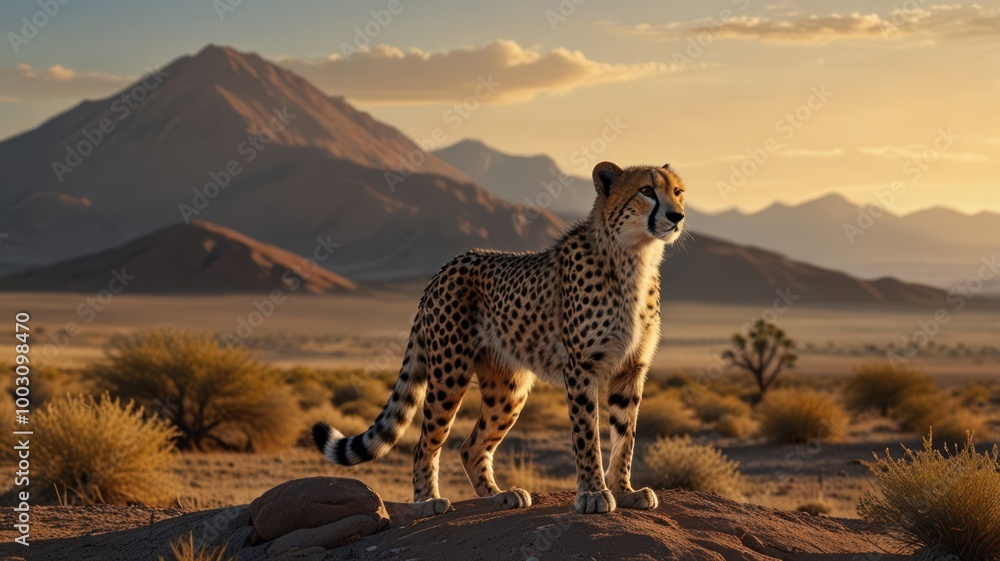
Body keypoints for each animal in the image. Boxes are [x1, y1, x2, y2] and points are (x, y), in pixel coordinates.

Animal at [313, 160, 687, 515]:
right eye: (647, 191)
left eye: (678, 192)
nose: (677, 216)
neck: (634, 255)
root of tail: (443, 269)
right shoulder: (581, 367)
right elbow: (587, 434)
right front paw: (594, 493)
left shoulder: (631, 369)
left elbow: (626, 436)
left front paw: (624, 491)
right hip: (450, 373)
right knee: (425, 443)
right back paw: (427, 500)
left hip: (507, 388)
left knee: (470, 446)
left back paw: (498, 496)